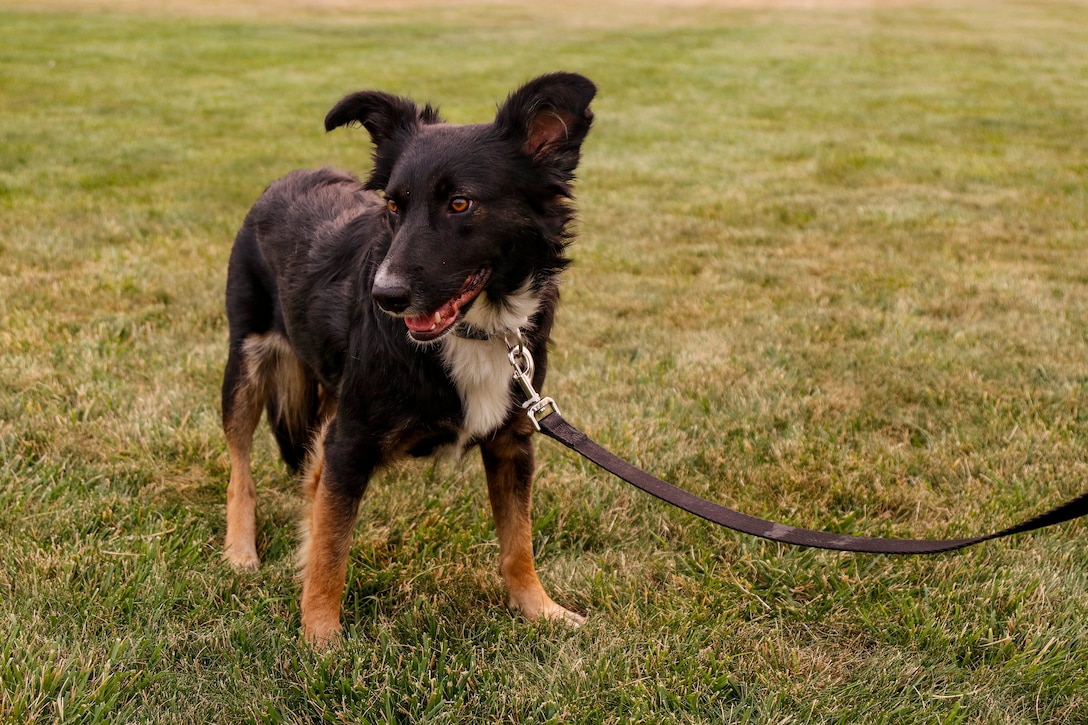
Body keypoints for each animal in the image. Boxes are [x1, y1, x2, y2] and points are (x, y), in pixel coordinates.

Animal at [219, 70, 596, 640]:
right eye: (394, 206)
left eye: (460, 203)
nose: (385, 297)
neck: (478, 330)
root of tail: (285, 180)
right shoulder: (352, 441)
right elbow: (332, 549)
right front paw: (320, 638)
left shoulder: (512, 441)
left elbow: (518, 542)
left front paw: (539, 608)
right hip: (247, 360)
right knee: (240, 466)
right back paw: (240, 550)